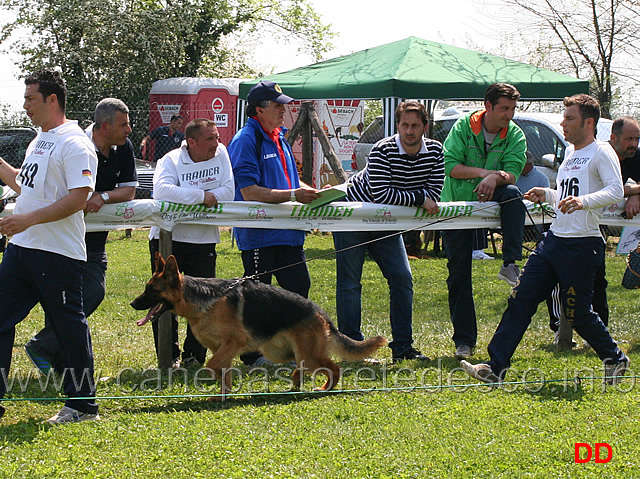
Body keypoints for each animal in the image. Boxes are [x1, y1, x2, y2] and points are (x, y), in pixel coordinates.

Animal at [131, 255, 384, 402]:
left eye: (151, 290)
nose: (132, 303)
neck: (205, 301)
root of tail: (322, 314)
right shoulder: (221, 349)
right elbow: (223, 372)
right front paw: (224, 395)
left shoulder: (233, 344)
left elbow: (213, 367)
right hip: (284, 352)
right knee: (303, 367)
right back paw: (296, 381)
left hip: (308, 354)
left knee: (333, 368)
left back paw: (325, 388)